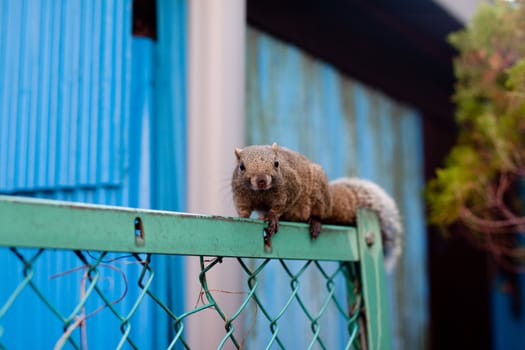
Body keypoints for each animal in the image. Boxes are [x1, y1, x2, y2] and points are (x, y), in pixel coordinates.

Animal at [230, 142, 402, 268]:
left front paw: (272, 217)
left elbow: (281, 205)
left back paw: (315, 223)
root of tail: (331, 203)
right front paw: (243, 217)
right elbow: (243, 209)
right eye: (241, 166)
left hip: (319, 196)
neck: (261, 192)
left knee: (320, 214)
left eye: (277, 163)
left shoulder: (291, 187)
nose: (261, 180)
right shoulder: (240, 194)